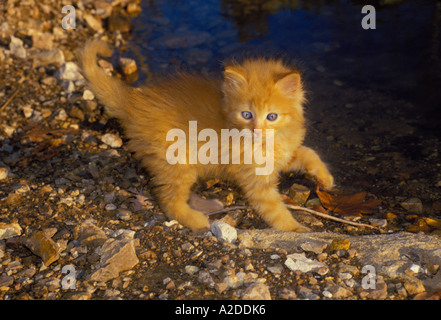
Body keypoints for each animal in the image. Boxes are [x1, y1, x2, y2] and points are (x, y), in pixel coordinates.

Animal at [77, 42, 332, 232]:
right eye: (246, 114)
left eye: (272, 116)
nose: (256, 130)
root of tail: (133, 101)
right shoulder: (257, 181)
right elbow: (275, 209)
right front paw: (296, 229)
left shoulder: (284, 154)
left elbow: (309, 153)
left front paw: (325, 178)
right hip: (177, 162)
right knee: (168, 200)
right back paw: (197, 220)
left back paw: (206, 205)